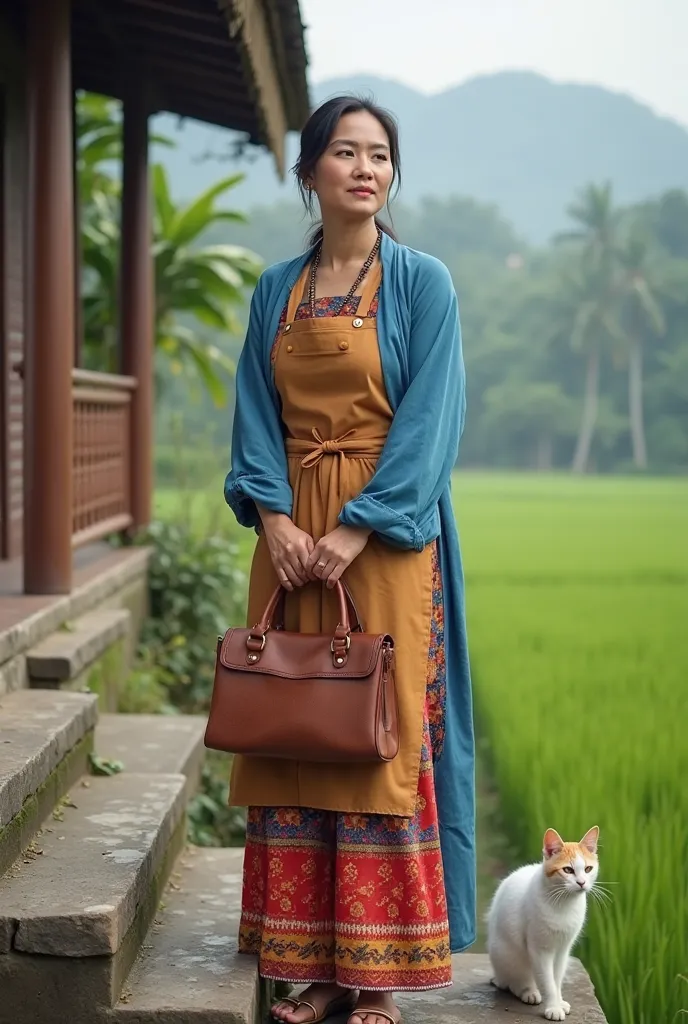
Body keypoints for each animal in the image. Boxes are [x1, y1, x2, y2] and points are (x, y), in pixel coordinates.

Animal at [487, 827, 597, 1019]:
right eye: (568, 870)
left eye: (588, 869)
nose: (582, 883)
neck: (564, 904)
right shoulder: (540, 950)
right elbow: (548, 981)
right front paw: (553, 1007)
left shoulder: (563, 950)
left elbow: (556, 979)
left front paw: (559, 1002)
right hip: (507, 955)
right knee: (513, 981)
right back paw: (528, 991)